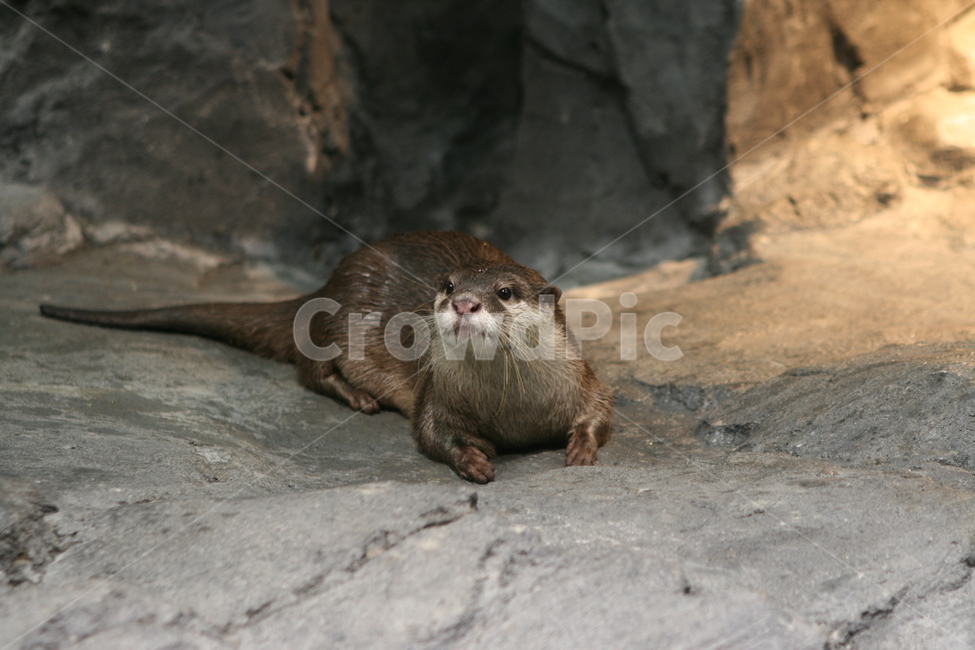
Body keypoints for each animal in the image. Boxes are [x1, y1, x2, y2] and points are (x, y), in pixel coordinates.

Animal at [39, 231, 614, 483]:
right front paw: (472, 458)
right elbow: (429, 433)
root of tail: (326, 284)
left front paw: (581, 450)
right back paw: (358, 397)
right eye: (448, 285)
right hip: (335, 324)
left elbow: (601, 411)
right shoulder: (435, 394)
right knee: (309, 369)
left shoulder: (583, 378)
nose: (464, 302)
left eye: (505, 292)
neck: (512, 411)